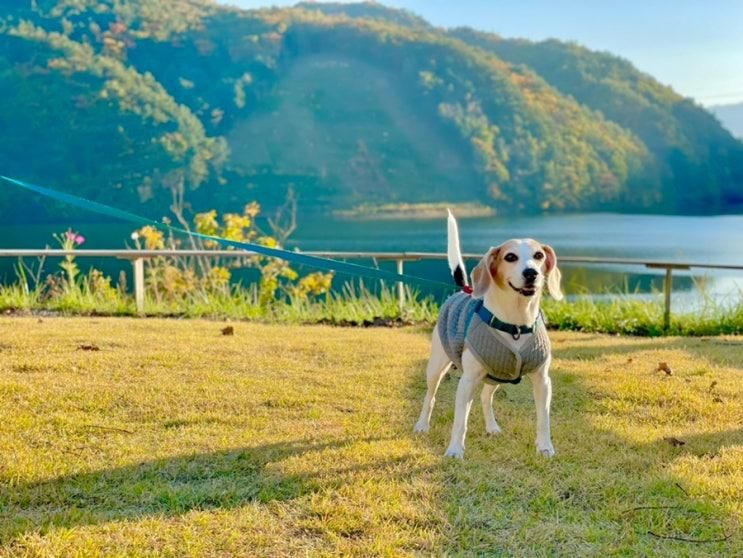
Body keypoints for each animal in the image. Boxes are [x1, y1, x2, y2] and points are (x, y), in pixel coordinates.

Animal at [412, 210, 564, 460]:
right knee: (430, 397)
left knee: (485, 397)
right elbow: (459, 421)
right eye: (510, 257)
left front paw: (545, 447)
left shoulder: (543, 381)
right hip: (437, 367)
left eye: (539, 255)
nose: (531, 273)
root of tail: (463, 290)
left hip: (496, 374)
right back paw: (422, 425)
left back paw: (491, 426)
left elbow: (544, 419)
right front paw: (454, 450)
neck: (516, 324)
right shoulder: (467, 381)